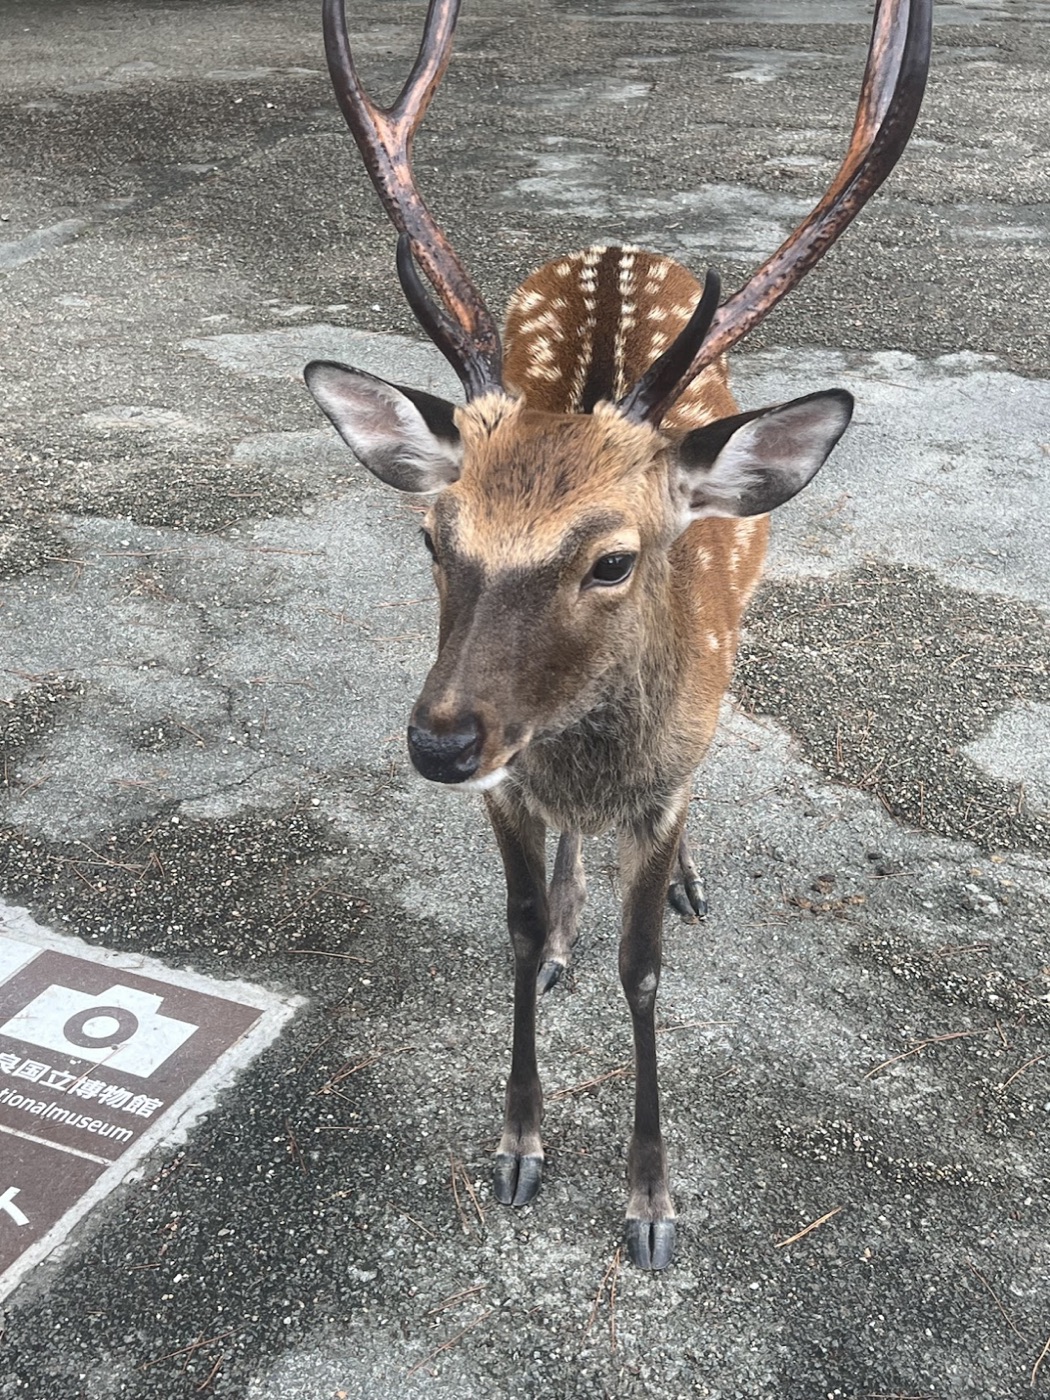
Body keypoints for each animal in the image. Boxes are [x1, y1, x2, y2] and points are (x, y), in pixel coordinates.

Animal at [304, 0, 931, 1269]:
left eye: (613, 558)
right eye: (436, 535)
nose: (440, 740)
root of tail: (618, 243)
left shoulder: (664, 776)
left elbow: (646, 973)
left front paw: (650, 1198)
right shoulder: (510, 786)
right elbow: (514, 921)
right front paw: (519, 1140)